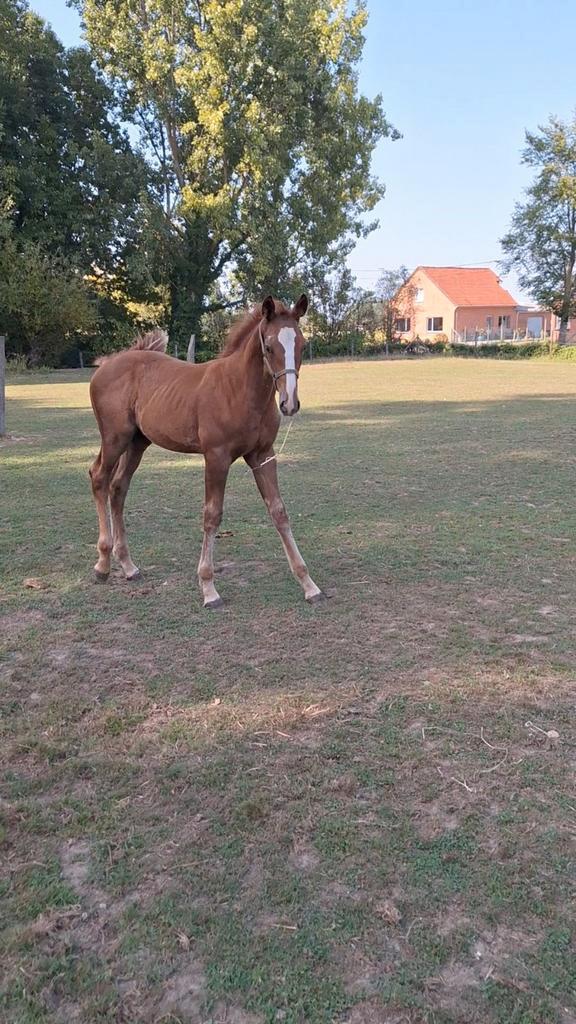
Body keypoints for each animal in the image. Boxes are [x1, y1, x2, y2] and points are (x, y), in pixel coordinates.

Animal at [88, 294, 325, 608]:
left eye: (301, 345)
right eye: (269, 346)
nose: (289, 403)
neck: (240, 391)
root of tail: (106, 365)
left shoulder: (263, 456)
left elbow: (279, 512)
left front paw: (308, 584)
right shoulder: (216, 457)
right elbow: (212, 515)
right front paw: (208, 588)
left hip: (138, 442)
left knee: (118, 488)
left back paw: (128, 566)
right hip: (115, 438)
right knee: (99, 477)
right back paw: (103, 565)